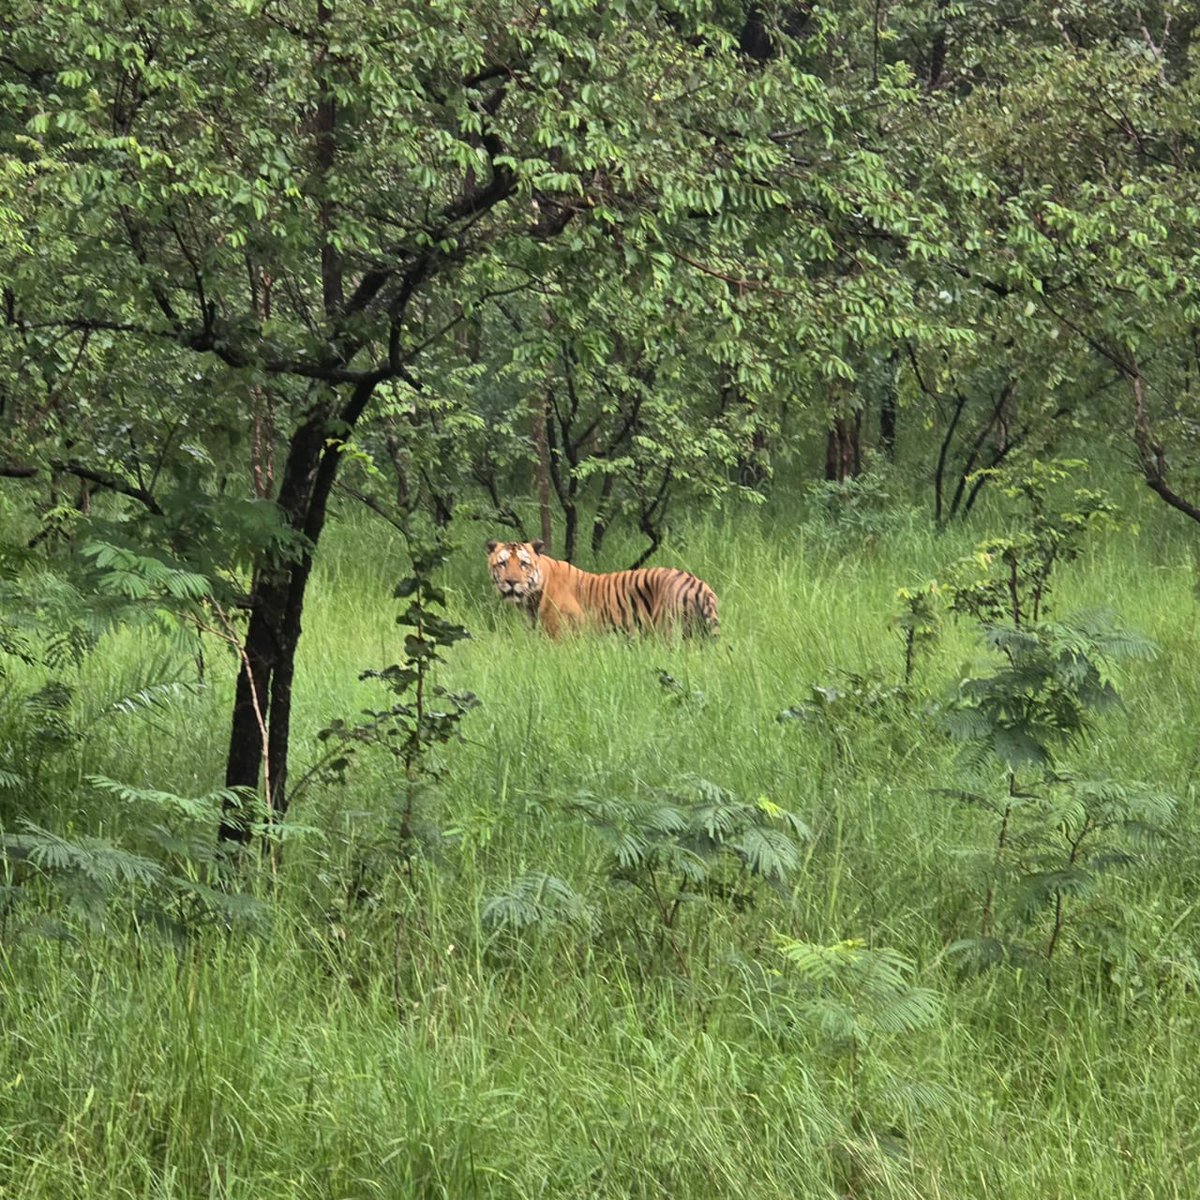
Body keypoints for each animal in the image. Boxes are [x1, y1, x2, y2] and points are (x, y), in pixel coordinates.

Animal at [486, 539, 719, 639]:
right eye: (502, 564)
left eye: (523, 564)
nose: (512, 581)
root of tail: (699, 583)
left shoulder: (560, 639)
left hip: (669, 631)